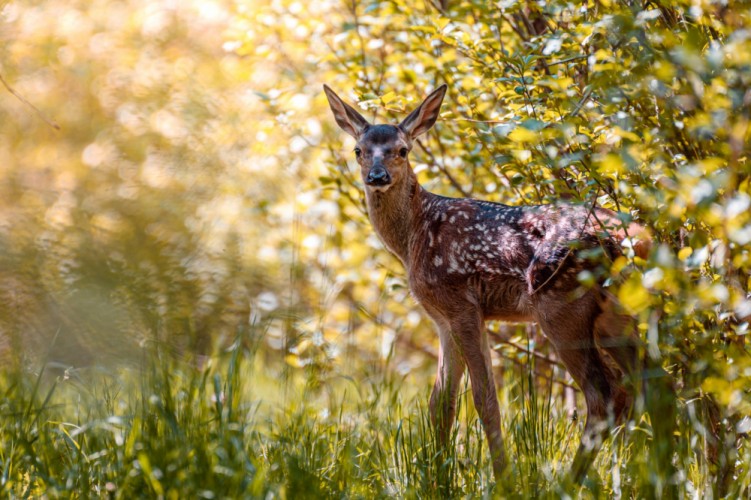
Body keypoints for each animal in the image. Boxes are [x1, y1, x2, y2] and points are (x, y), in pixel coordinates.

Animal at [324, 84, 656, 482]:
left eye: (403, 150)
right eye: (358, 150)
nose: (377, 176)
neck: (414, 235)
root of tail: (637, 239)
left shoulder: (461, 303)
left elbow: (484, 399)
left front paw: (503, 479)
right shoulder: (445, 317)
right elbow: (441, 402)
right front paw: (438, 480)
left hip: (563, 307)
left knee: (604, 394)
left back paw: (568, 483)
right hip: (615, 315)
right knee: (654, 382)